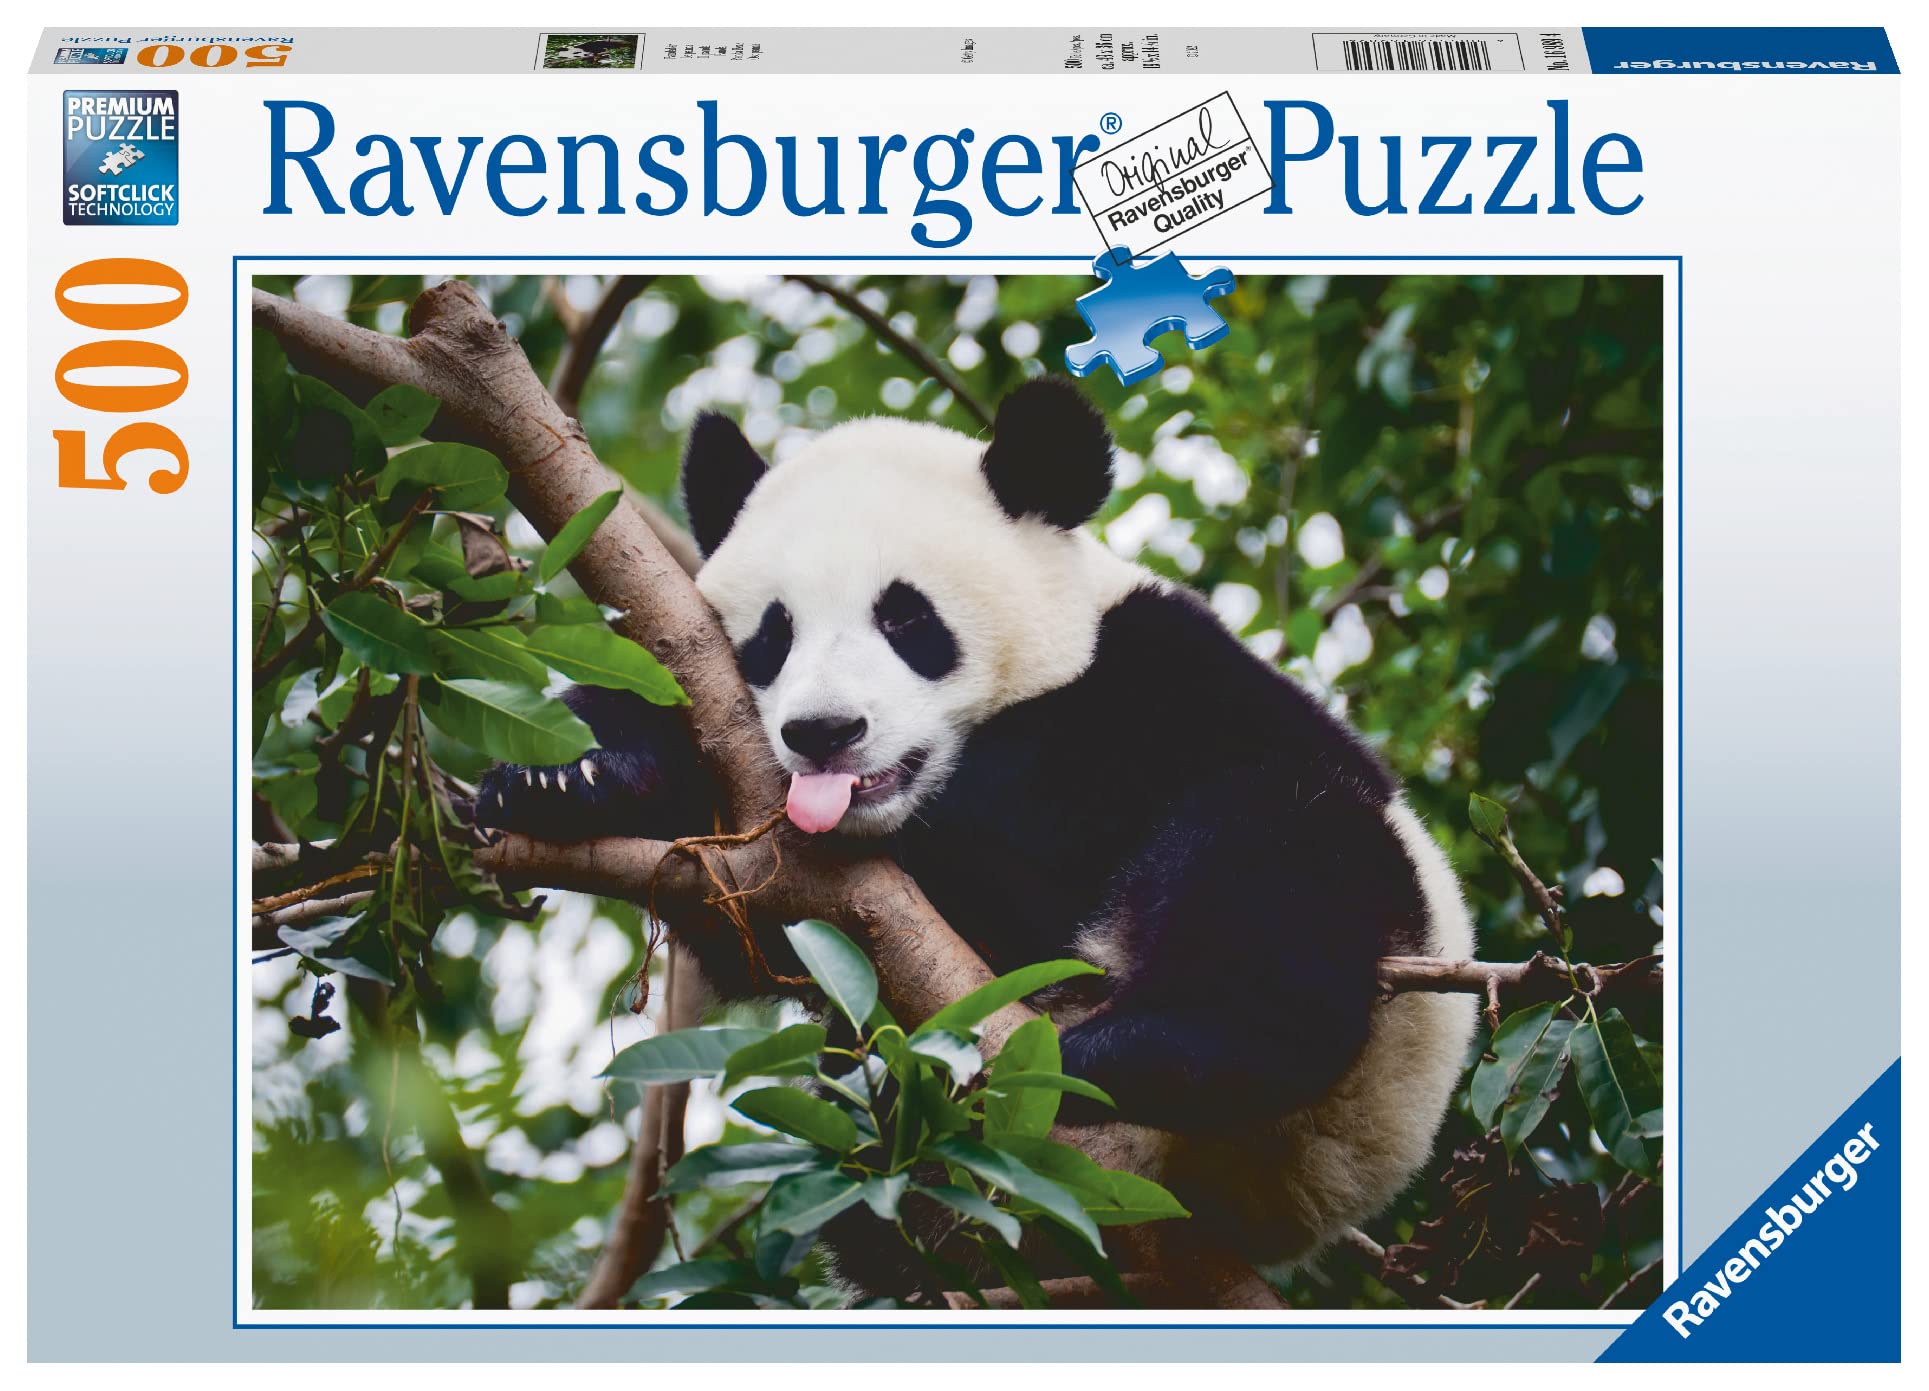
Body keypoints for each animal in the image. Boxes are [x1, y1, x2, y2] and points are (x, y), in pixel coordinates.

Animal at [478, 378, 1476, 1278]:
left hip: (1359, 1051)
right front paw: (565, 774)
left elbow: (1025, 834)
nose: (824, 732)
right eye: (773, 634)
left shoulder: (1157, 684)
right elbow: (750, 926)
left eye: (906, 618)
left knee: (1275, 862)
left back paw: (1132, 1051)